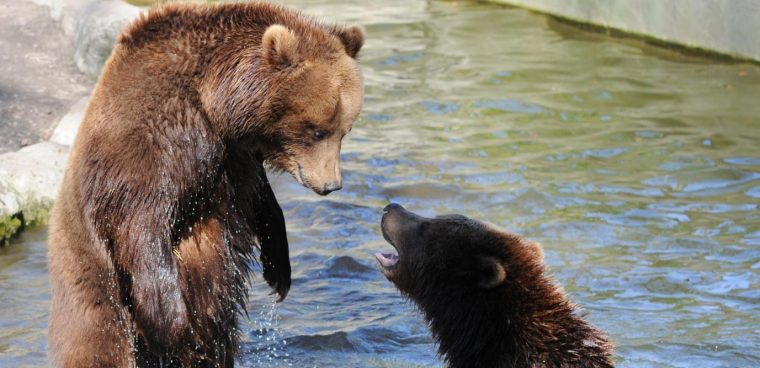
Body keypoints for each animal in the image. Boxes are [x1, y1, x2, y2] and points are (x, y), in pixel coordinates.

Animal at [49, 3, 364, 368]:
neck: (214, 103)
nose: (331, 184)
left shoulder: (233, 159)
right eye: (317, 131)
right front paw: (170, 324)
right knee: (100, 342)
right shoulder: (146, 148)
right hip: (92, 286)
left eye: (345, 130)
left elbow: (261, 199)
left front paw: (279, 271)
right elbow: (140, 227)